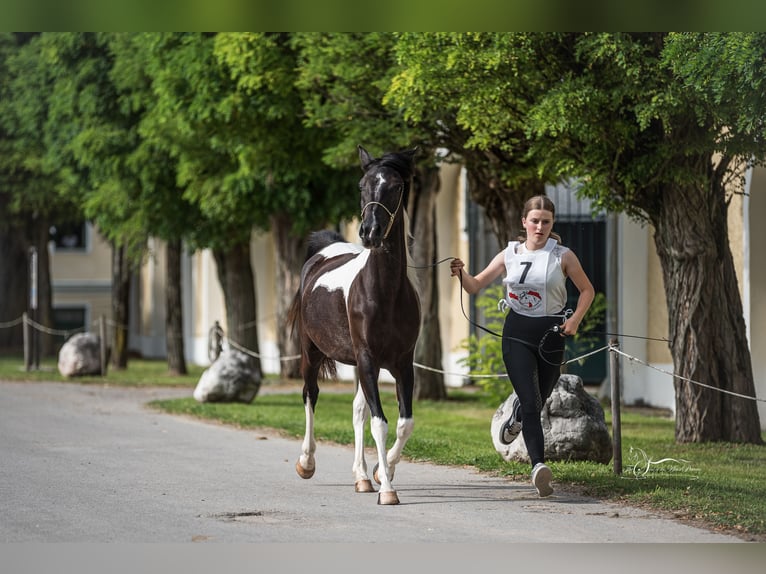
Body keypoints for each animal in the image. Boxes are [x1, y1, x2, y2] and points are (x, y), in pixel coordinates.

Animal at [286, 146, 420, 506]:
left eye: (396, 186)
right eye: (362, 185)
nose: (370, 232)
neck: (384, 293)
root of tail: (324, 250)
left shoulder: (402, 364)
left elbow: (403, 423)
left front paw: (380, 473)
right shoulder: (369, 360)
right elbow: (380, 423)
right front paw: (387, 490)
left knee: (358, 410)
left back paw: (361, 477)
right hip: (311, 353)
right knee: (310, 395)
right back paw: (306, 463)